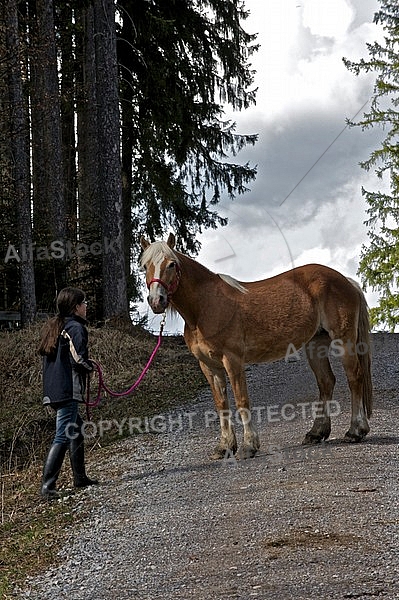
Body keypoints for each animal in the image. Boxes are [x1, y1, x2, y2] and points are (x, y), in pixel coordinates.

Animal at [140, 234, 372, 460]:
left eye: (171, 264)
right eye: (145, 266)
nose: (156, 301)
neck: (205, 307)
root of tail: (346, 280)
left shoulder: (232, 360)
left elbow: (242, 400)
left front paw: (248, 446)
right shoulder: (209, 366)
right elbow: (221, 404)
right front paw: (224, 447)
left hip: (344, 340)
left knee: (354, 377)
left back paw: (355, 431)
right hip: (316, 345)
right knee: (326, 382)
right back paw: (316, 433)